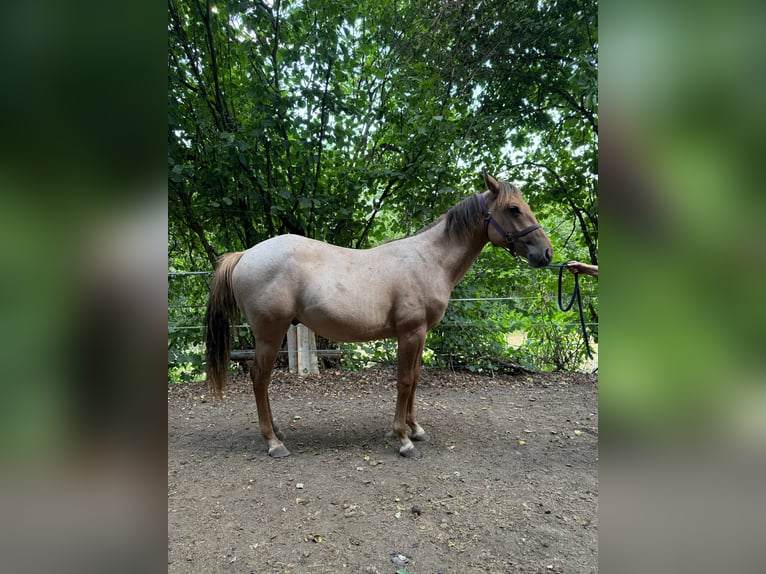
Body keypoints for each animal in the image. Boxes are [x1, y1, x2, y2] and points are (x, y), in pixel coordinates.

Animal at [204, 172, 553, 458]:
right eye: (513, 209)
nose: (546, 253)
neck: (428, 260)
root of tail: (245, 255)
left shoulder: (420, 335)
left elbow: (415, 379)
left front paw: (414, 428)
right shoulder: (411, 333)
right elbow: (404, 381)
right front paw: (403, 439)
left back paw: (277, 432)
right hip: (269, 333)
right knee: (259, 378)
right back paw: (273, 442)